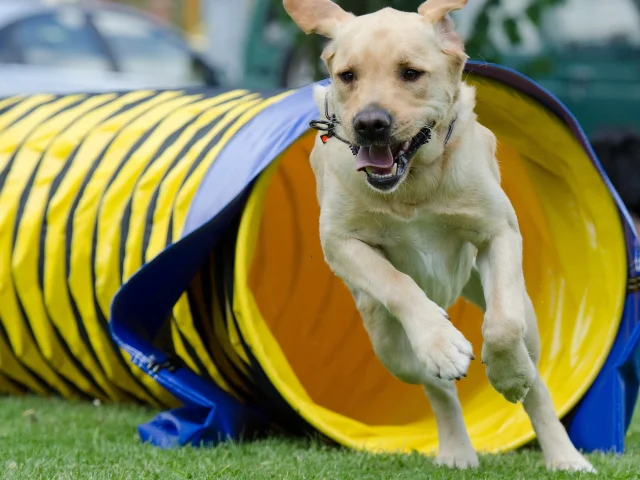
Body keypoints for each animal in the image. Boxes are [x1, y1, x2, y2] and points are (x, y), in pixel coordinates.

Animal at [284, 0, 596, 472]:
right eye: (347, 75)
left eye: (411, 73)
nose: (369, 123)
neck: (413, 182)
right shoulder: (340, 243)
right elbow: (398, 283)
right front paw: (443, 343)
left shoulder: (498, 232)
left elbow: (502, 327)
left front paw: (508, 376)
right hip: (387, 343)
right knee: (438, 388)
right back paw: (456, 449)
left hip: (525, 316)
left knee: (536, 380)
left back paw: (563, 454)